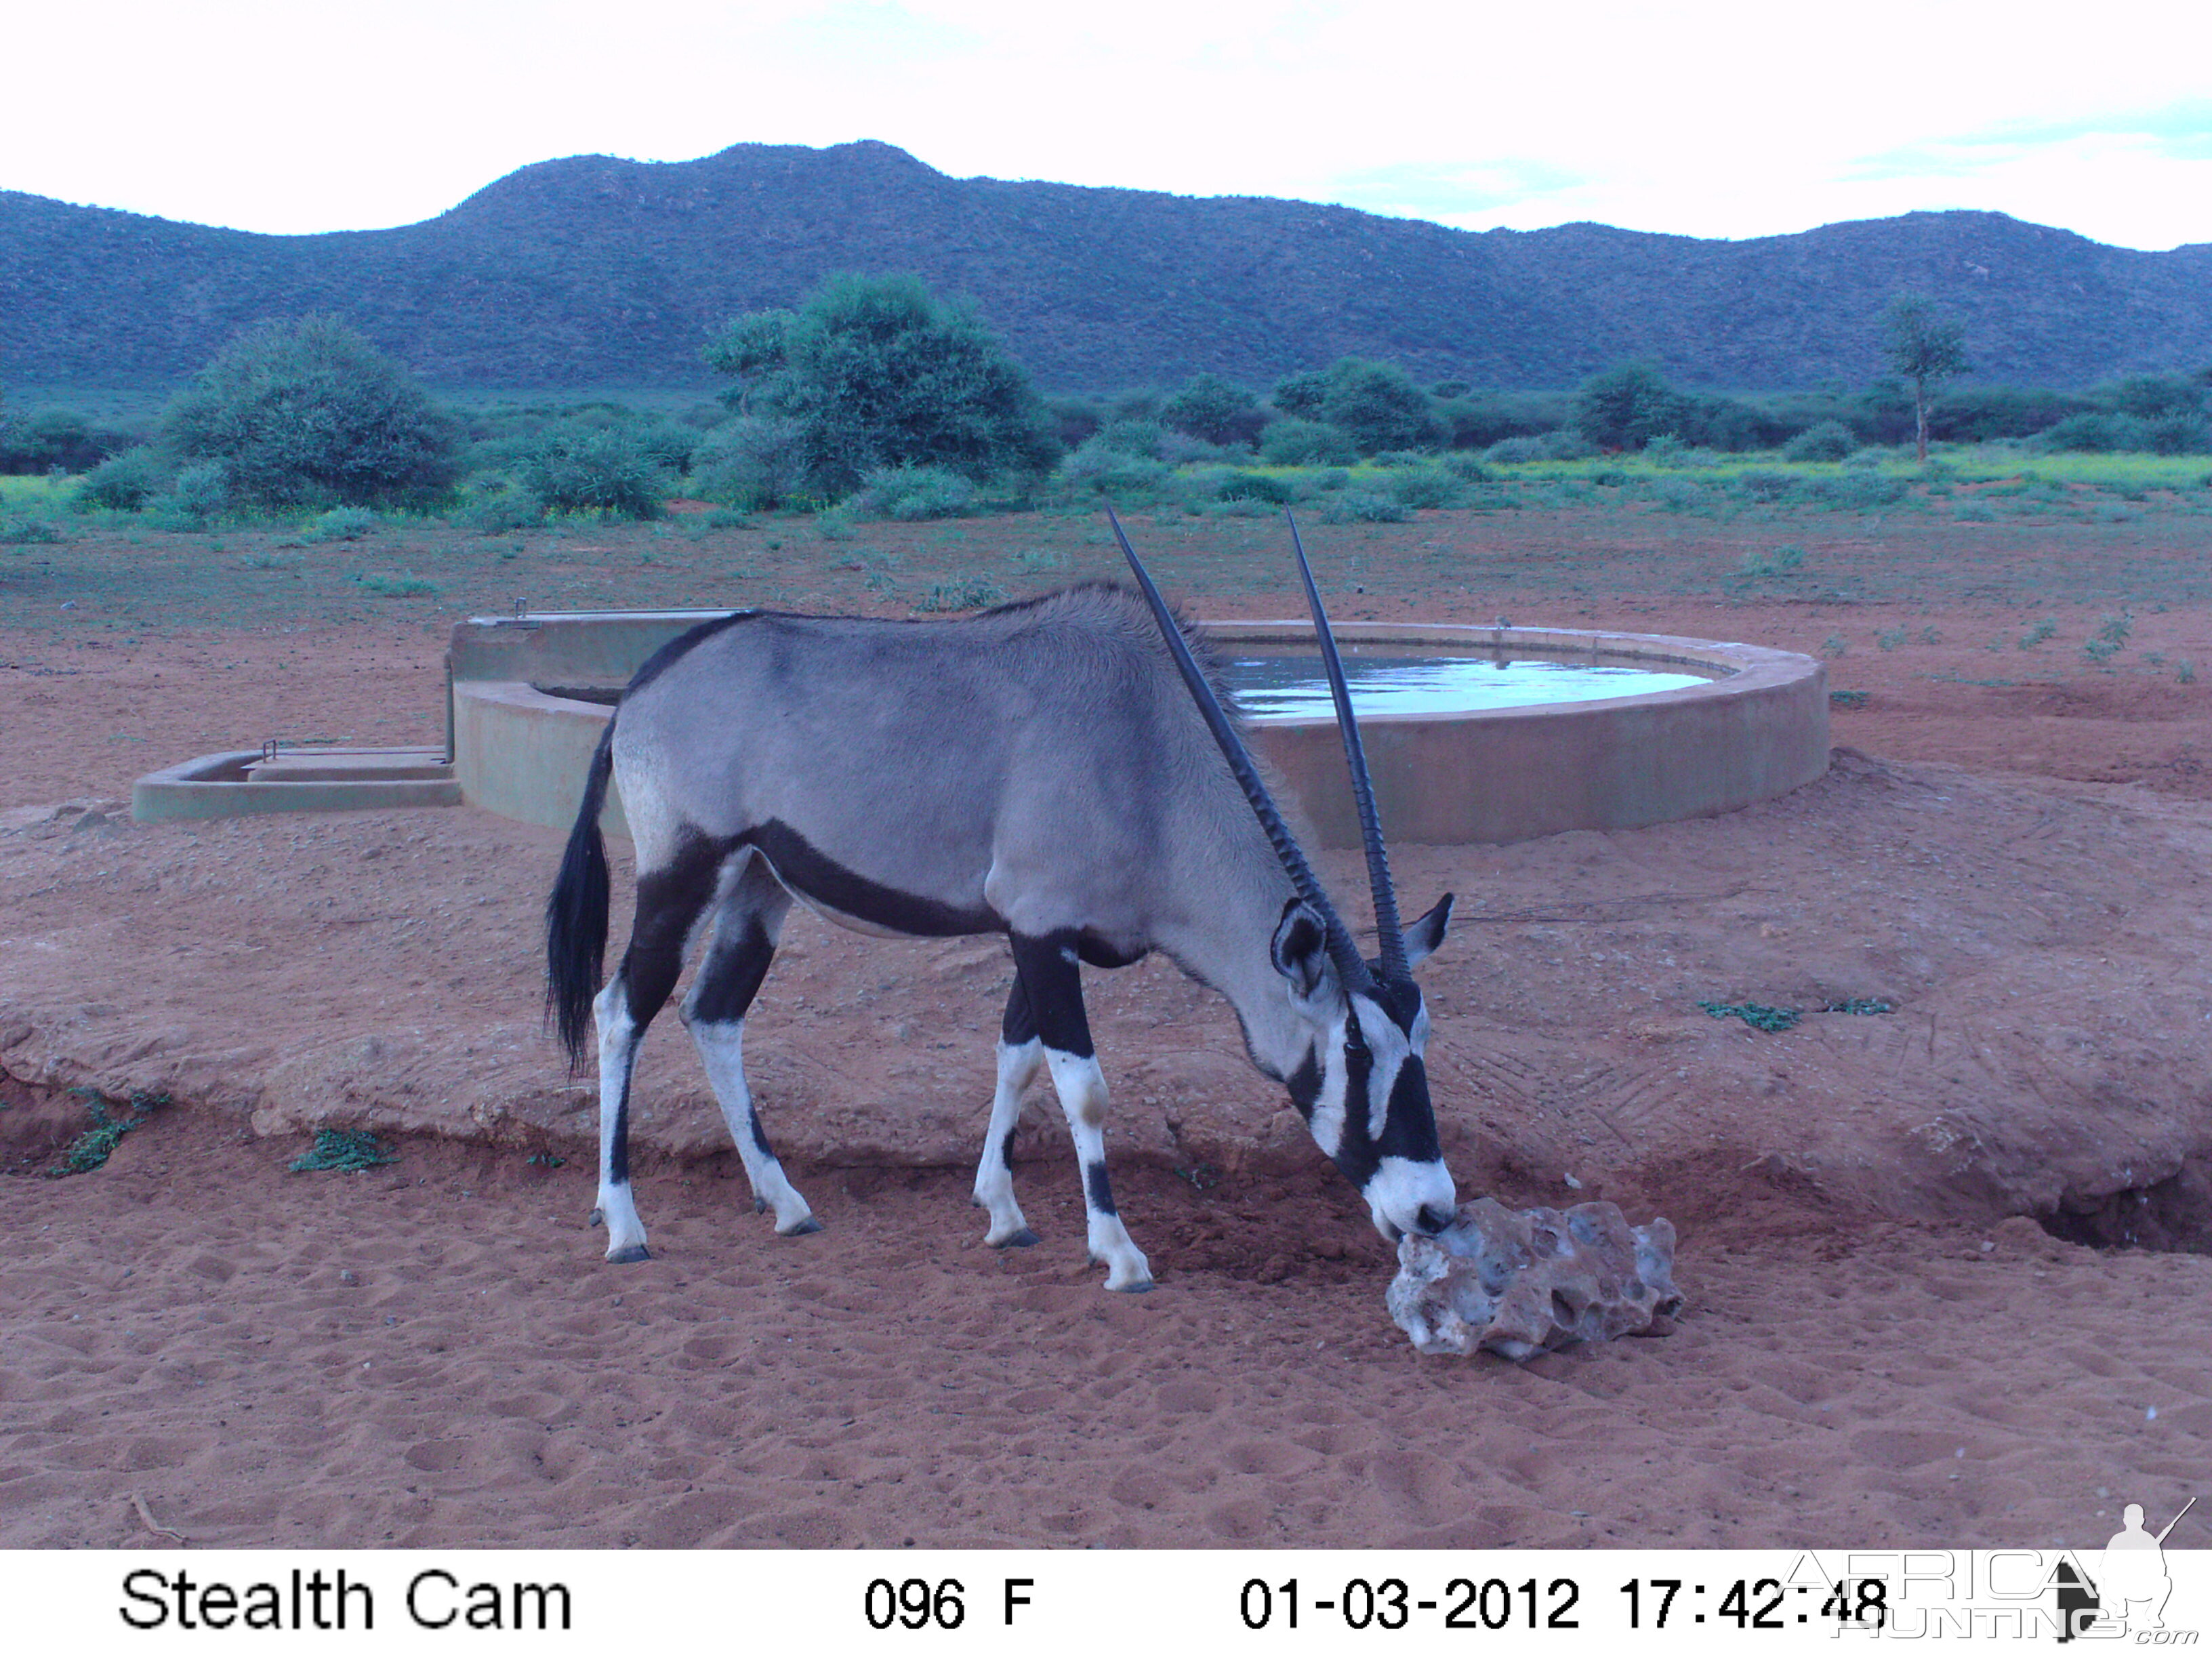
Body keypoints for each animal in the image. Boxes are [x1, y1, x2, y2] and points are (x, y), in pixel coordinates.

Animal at [546, 513, 1460, 1292]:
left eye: (1420, 1039)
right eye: (1354, 1050)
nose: (1432, 1209)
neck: (1147, 753)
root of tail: (638, 692)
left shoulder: (1046, 936)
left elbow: (1017, 1059)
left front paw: (1004, 1212)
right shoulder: (1040, 926)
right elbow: (1083, 1086)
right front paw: (1119, 1252)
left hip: (760, 885)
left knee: (713, 1014)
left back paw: (788, 1204)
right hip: (684, 871)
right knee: (622, 1008)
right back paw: (624, 1224)